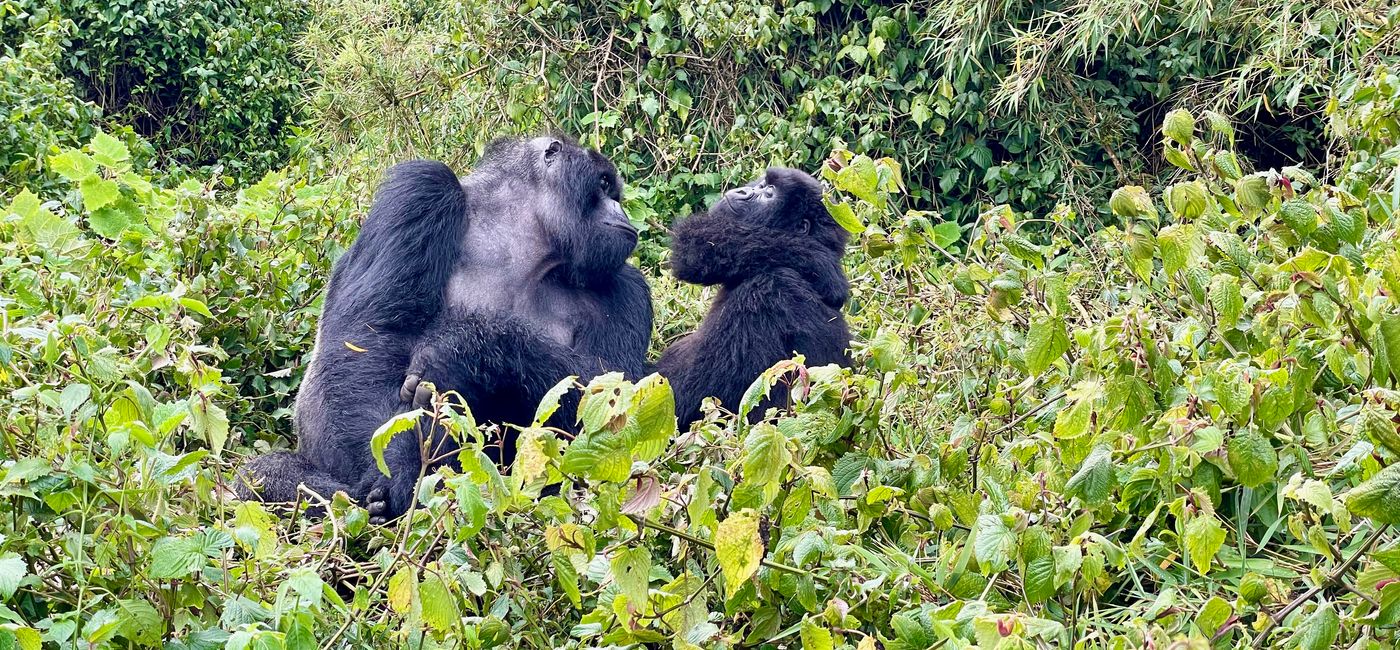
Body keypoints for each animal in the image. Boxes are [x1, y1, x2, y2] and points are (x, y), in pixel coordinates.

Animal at [238, 137, 652, 523]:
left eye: (614, 192)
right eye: (603, 184)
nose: (622, 213)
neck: (520, 240)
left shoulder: (625, 286)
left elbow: (614, 403)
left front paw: (467, 351)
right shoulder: (421, 190)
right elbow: (367, 336)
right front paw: (399, 475)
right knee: (261, 475)